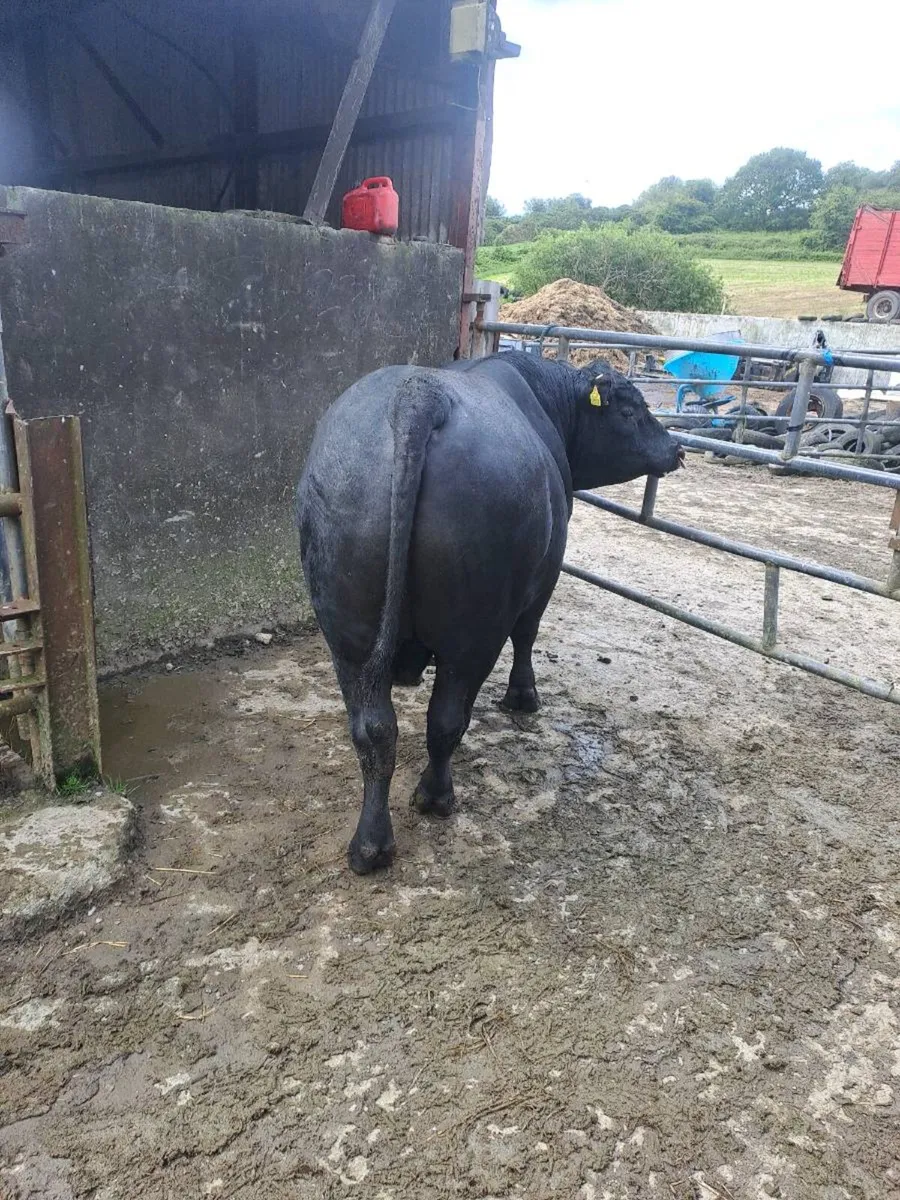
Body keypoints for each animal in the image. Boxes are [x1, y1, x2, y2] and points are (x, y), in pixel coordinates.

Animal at [296, 352, 683, 874]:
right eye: (629, 411)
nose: (677, 448)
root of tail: (419, 397)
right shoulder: (545, 577)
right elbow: (528, 635)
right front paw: (524, 695)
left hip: (348, 630)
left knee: (374, 729)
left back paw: (370, 845)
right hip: (473, 634)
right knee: (446, 717)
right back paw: (436, 796)